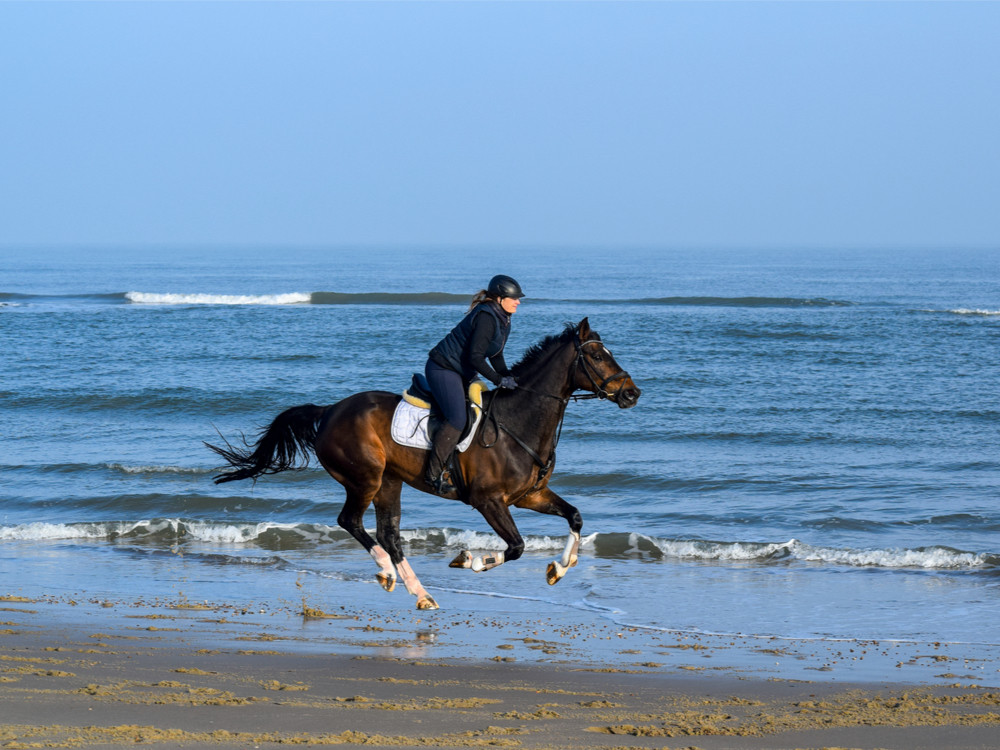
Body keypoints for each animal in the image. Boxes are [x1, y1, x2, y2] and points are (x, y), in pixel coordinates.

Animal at [207, 318, 640, 612]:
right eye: (597, 355)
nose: (632, 393)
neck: (519, 423)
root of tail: (329, 410)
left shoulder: (529, 496)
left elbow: (575, 517)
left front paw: (559, 568)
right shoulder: (489, 501)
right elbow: (515, 547)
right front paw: (470, 559)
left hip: (389, 483)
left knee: (389, 534)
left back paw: (421, 593)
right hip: (365, 478)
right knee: (352, 522)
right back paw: (386, 573)